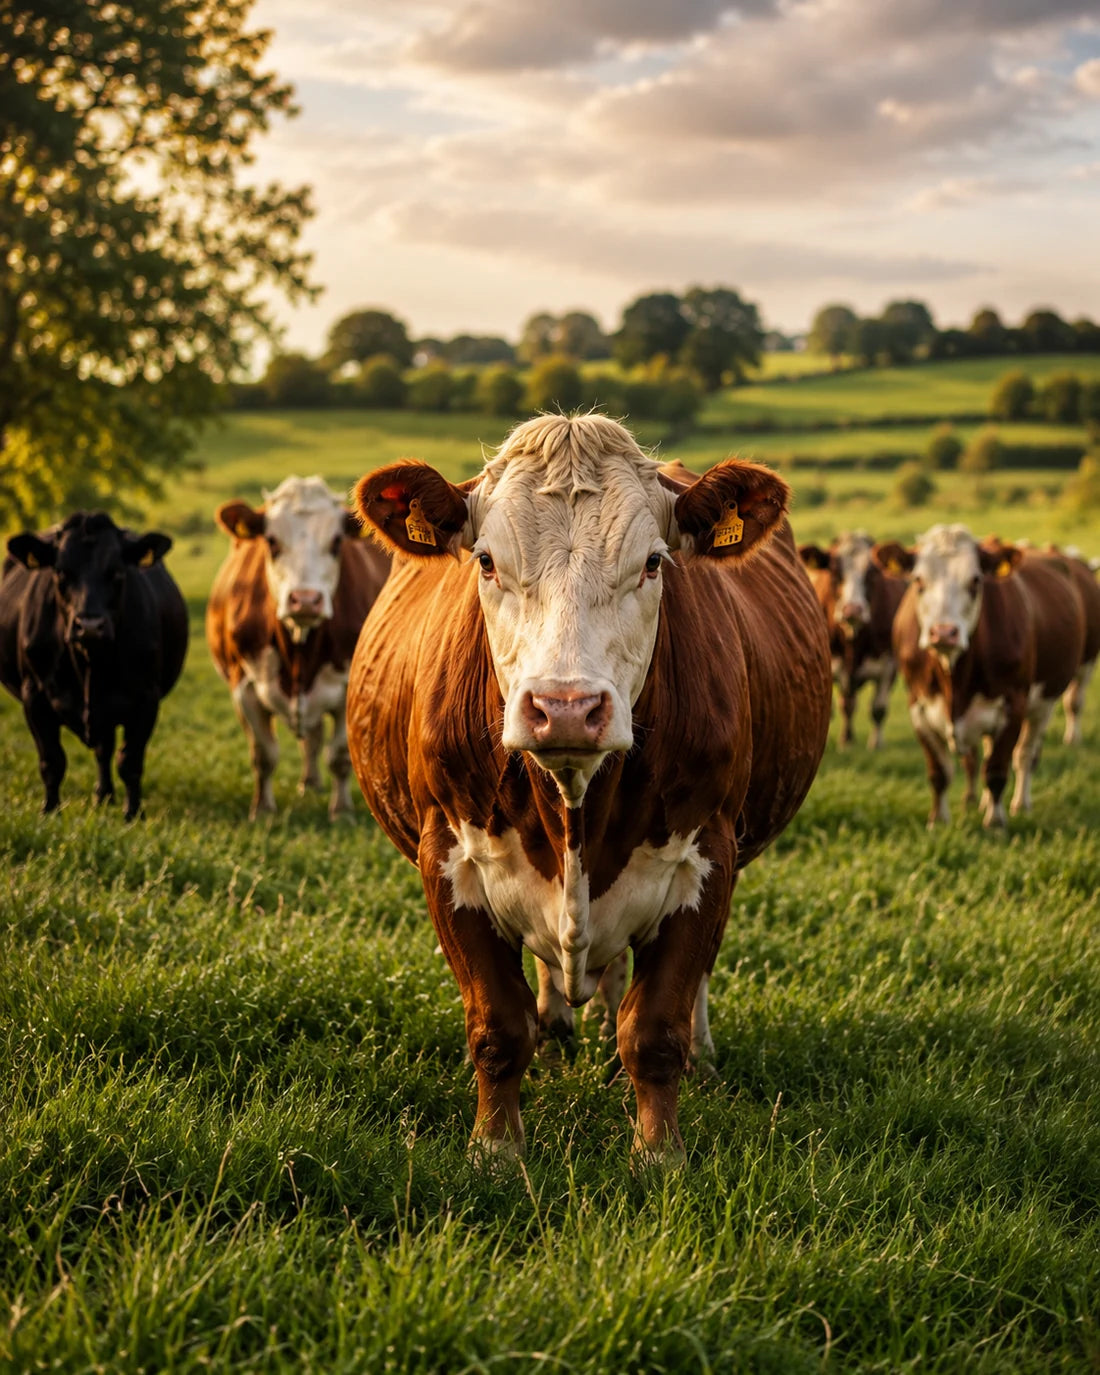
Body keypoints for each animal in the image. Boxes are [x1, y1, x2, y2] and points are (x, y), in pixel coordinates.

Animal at [0, 511, 188, 819]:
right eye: (61, 572)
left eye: (117, 572)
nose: (89, 626)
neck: (89, 664)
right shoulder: (35, 697)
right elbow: (52, 760)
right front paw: (50, 810)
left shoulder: (146, 698)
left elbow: (129, 761)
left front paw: (133, 814)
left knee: (105, 750)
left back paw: (104, 795)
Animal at [206, 475, 390, 820]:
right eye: (271, 541)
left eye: (336, 542)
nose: (305, 600)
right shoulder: (244, 688)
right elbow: (263, 755)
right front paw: (263, 810)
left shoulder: (349, 688)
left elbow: (339, 756)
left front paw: (341, 810)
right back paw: (309, 783)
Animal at [345, 413, 832, 1165]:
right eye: (486, 561)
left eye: (654, 562)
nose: (566, 706)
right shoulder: (447, 855)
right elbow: (498, 1024)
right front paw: (496, 1149)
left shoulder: (707, 853)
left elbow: (656, 1028)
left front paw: (660, 1155)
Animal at [799, 532, 907, 749]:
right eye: (834, 571)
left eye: (872, 573)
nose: (853, 610)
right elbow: (841, 707)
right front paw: (846, 741)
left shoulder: (889, 665)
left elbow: (878, 708)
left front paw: (876, 743)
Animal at [875, 525, 1087, 828]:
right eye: (917, 580)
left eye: (975, 581)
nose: (944, 632)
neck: (954, 680)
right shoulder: (919, 708)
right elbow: (939, 773)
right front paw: (938, 821)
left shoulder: (1013, 706)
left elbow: (997, 771)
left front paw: (995, 823)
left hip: (1044, 703)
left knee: (1025, 756)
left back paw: (1020, 804)